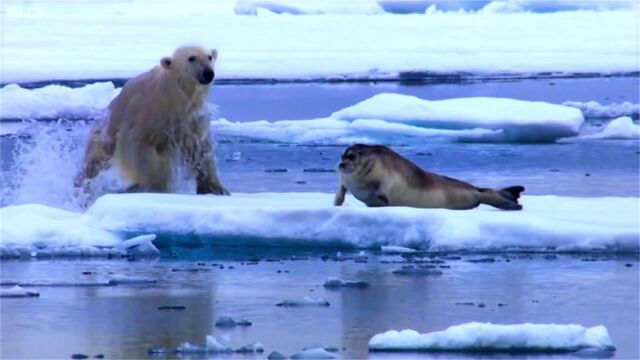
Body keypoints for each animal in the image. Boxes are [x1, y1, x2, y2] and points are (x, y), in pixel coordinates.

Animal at [76, 46, 229, 197]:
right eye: (191, 58)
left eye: (209, 57)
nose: (208, 73)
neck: (174, 95)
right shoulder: (148, 112)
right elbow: (139, 144)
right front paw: (158, 184)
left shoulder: (191, 119)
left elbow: (199, 148)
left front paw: (216, 188)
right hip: (105, 134)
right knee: (95, 160)